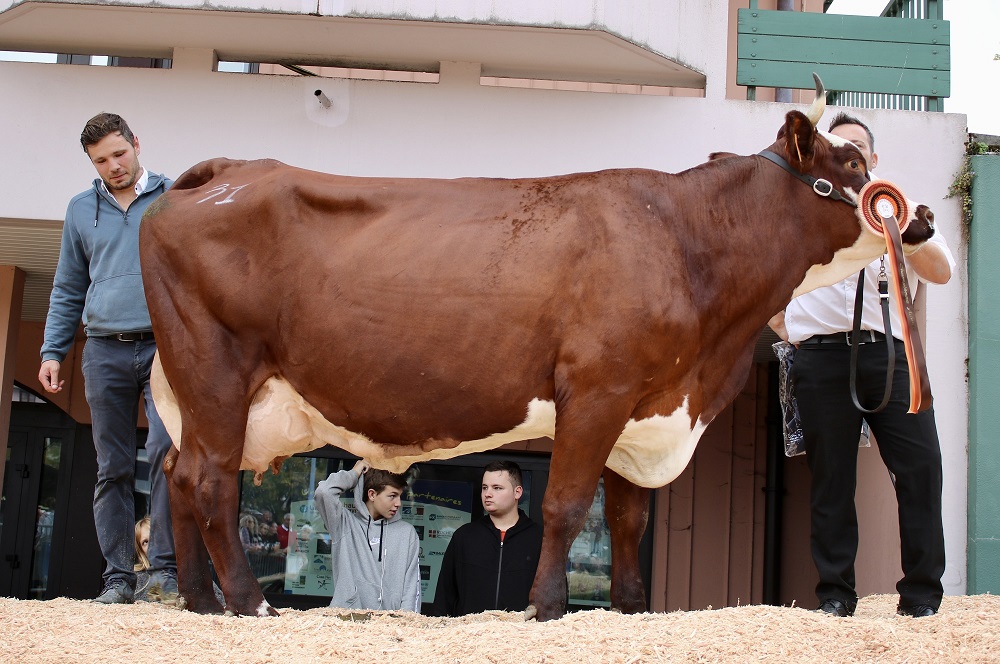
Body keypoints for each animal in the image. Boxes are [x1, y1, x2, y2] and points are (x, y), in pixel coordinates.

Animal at [141, 85, 936, 620]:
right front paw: (547, 606)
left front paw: (630, 609)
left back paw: (201, 602)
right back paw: (249, 603)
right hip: (216, 370)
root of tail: (227, 170)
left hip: (206, 394)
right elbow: (565, 504)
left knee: (178, 476)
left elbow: (628, 519)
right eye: (850, 162)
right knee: (209, 482)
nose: (921, 216)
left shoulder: (643, 408)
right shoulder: (597, 388)